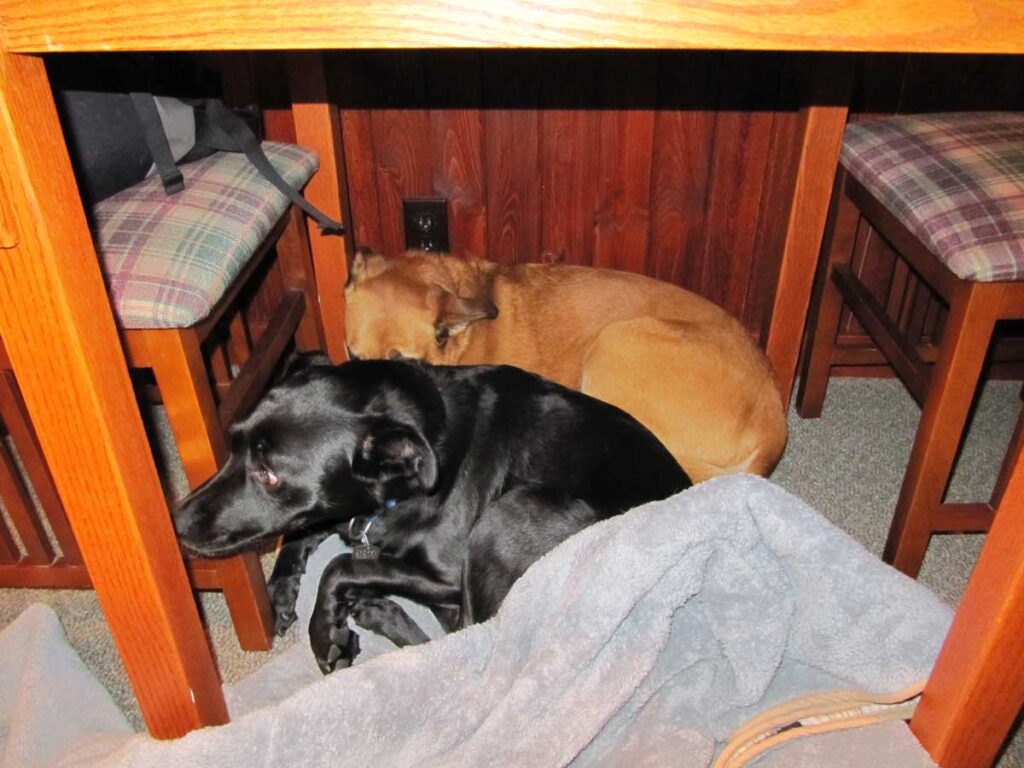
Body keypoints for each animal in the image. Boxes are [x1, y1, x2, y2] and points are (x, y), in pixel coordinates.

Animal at [174, 355, 689, 673]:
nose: (176, 524)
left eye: (269, 474)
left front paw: (325, 634)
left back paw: (378, 612)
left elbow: (342, 565)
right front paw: (281, 593)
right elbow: (305, 531)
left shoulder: (445, 575)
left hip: (510, 514)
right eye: (233, 444)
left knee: (469, 645)